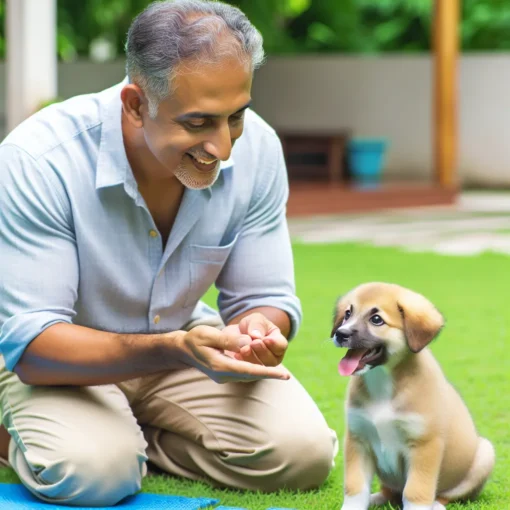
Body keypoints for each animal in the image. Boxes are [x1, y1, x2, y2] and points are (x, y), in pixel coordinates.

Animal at [330, 282, 494, 510]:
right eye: (347, 314)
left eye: (376, 319)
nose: (340, 334)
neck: (383, 382)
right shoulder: (358, 439)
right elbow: (355, 487)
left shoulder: (424, 445)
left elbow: (416, 491)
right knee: (390, 493)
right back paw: (376, 499)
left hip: (485, 455)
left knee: (443, 495)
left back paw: (437, 505)